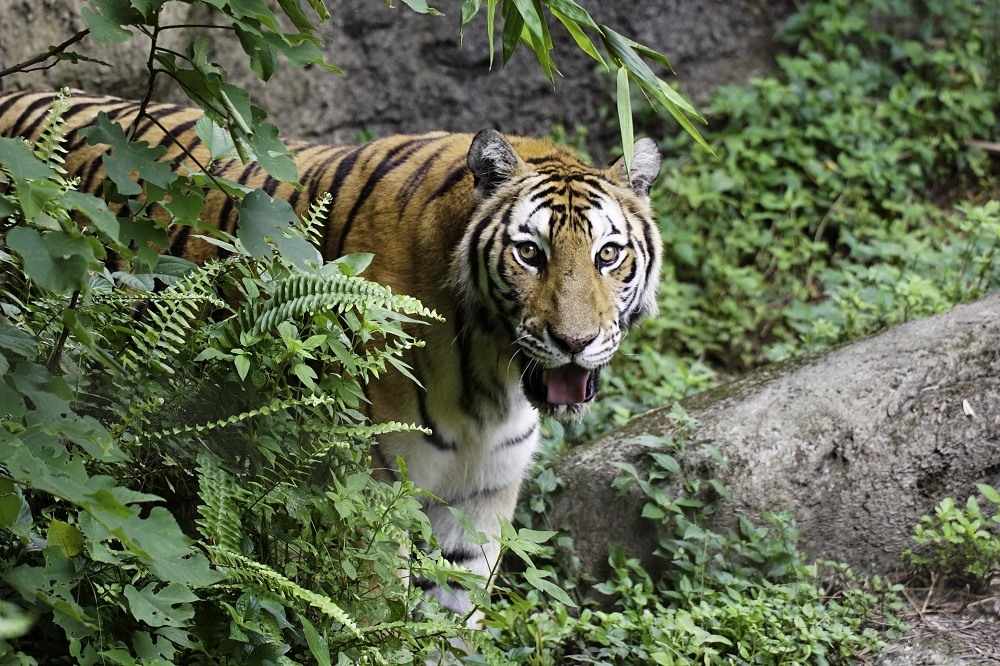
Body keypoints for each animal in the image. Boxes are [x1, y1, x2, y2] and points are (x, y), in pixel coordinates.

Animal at [0, 89, 664, 616]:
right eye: (530, 254)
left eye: (607, 255)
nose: (573, 343)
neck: (492, 378)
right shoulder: (369, 483)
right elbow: (370, 615)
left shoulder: (482, 497)